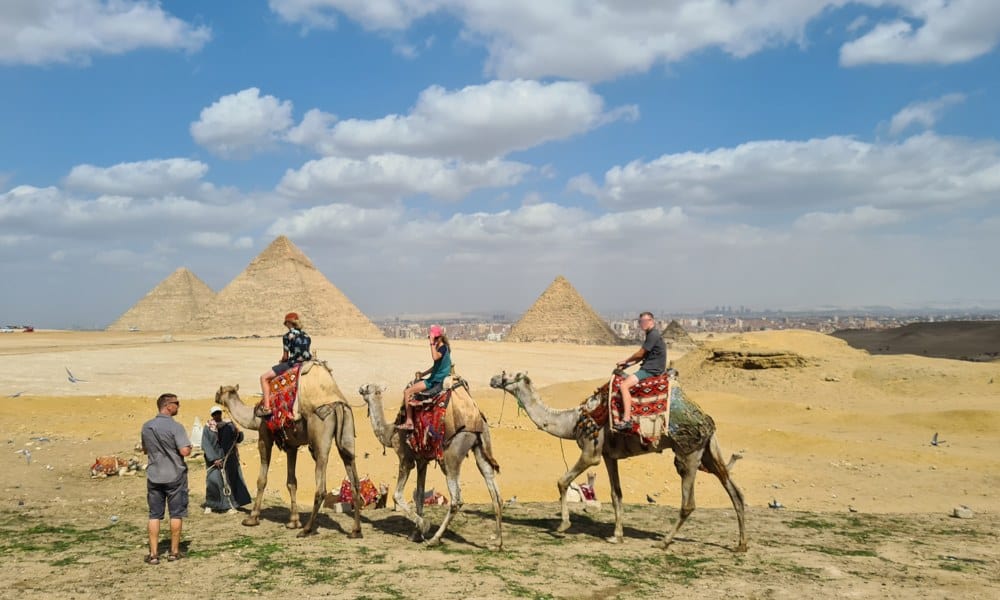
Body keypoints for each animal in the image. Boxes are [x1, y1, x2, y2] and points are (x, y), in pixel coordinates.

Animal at [217, 366, 366, 540]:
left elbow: (262, 480)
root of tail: (337, 404)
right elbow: (291, 482)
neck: (253, 418)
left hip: (320, 433)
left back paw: (307, 529)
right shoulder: (291, 446)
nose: (215, 396)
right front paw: (293, 522)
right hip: (348, 431)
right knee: (354, 478)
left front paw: (252, 518)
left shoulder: (264, 436)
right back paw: (355, 531)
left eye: (219, 391)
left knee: (321, 487)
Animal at [356, 384, 504, 548]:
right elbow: (420, 496)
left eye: (367, 387)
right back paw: (497, 542)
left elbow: (397, 495)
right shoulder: (422, 460)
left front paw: (424, 526)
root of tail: (477, 420)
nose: (360, 388)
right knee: (493, 486)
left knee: (457, 499)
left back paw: (434, 539)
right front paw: (416, 534)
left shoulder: (405, 459)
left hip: (451, 454)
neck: (391, 432)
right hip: (481, 445)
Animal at [488, 370, 748, 552]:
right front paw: (617, 535)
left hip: (687, 452)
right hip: (709, 450)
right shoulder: (608, 455)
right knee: (735, 491)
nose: (492, 379)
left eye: (507, 375)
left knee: (689, 503)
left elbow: (562, 481)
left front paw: (562, 526)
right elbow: (616, 495)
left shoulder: (591, 451)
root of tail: (704, 418)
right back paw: (741, 545)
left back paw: (664, 542)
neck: (572, 421)